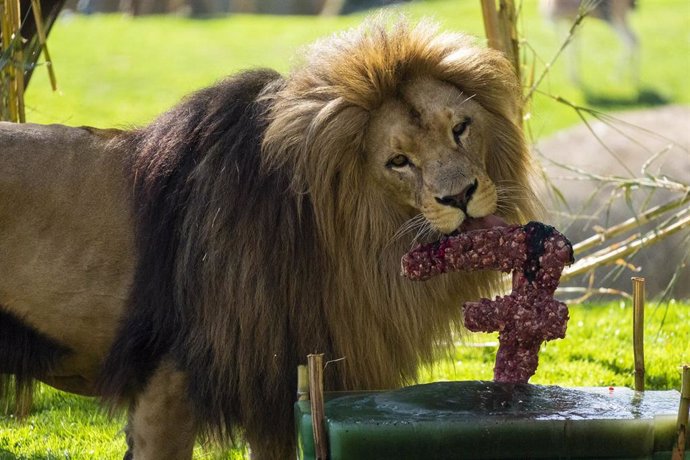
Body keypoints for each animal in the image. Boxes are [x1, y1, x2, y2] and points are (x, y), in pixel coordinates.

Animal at [0, 16, 536, 458]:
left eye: (461, 128)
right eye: (398, 161)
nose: (461, 196)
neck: (344, 242)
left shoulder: (279, 389)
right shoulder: (171, 380)